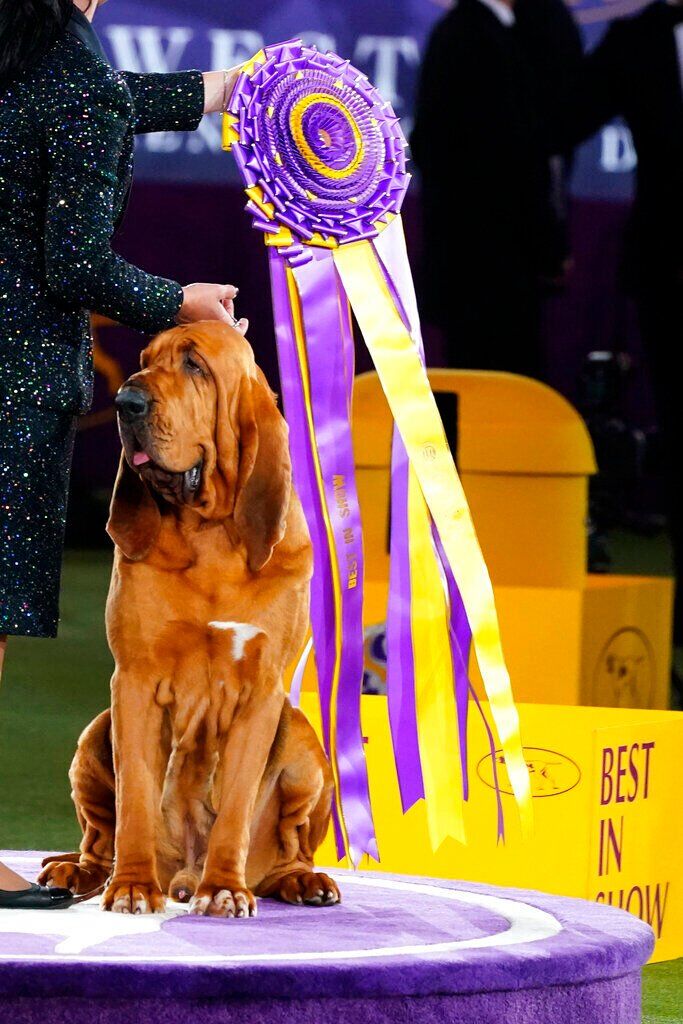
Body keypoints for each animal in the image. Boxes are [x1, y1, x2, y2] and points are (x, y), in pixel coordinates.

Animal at [38, 323, 337, 917]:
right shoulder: (133, 683)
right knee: (98, 840)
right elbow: (134, 798)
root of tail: (181, 871)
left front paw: (223, 887)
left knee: (290, 847)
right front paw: (132, 886)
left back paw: (301, 880)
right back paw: (77, 872)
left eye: (195, 365)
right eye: (145, 359)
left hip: (302, 742)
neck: (210, 534)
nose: (126, 402)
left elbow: (237, 804)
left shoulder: (262, 696)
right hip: (94, 735)